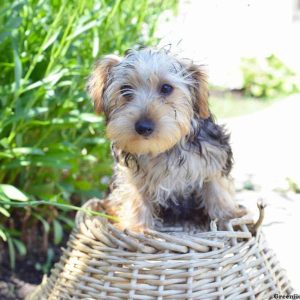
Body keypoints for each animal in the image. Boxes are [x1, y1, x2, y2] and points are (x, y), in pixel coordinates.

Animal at [87, 47, 246, 230]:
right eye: (125, 89)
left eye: (166, 88)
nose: (143, 127)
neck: (165, 149)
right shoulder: (132, 174)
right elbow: (135, 196)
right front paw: (136, 227)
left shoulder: (213, 157)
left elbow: (216, 189)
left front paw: (227, 217)